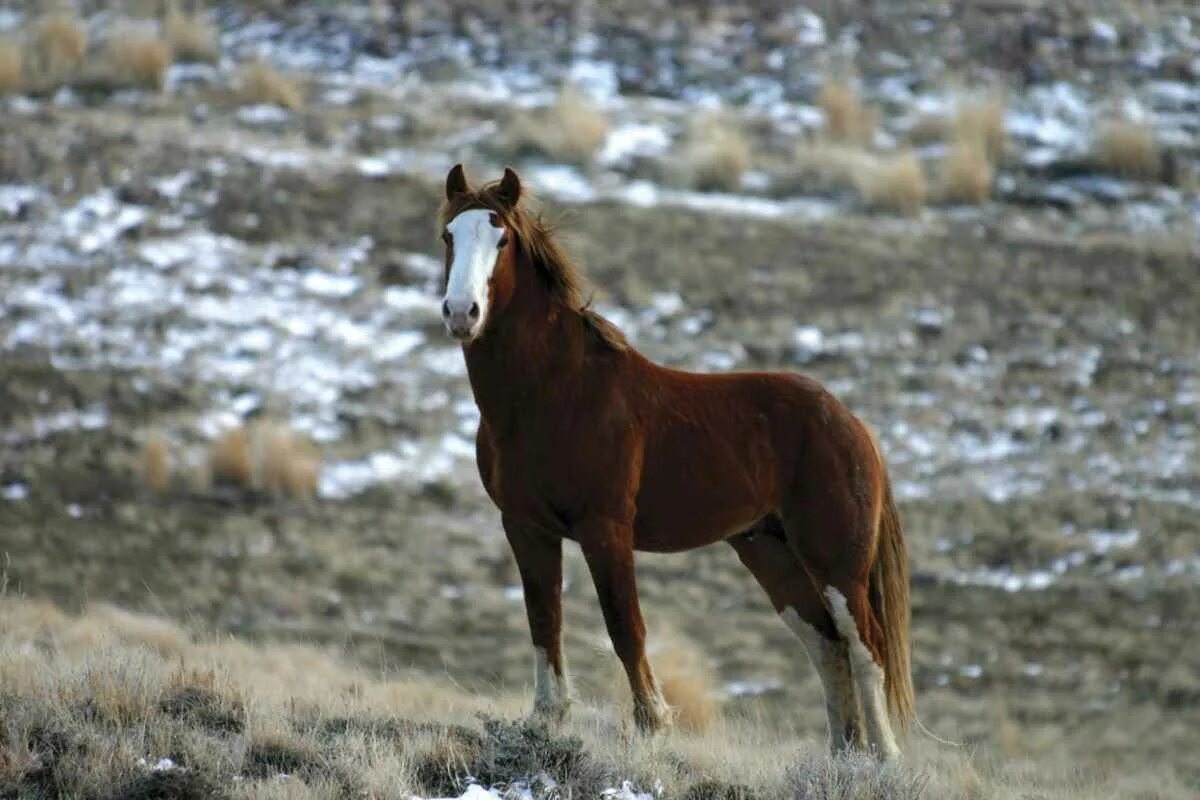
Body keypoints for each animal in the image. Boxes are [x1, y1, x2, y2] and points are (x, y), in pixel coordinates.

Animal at [437, 164, 915, 760]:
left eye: (500, 239)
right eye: (448, 236)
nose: (462, 313)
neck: (553, 392)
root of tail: (853, 425)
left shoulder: (605, 529)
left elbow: (626, 626)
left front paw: (653, 725)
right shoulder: (526, 527)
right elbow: (544, 622)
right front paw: (547, 720)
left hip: (835, 560)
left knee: (864, 646)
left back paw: (882, 761)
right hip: (771, 554)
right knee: (827, 647)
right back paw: (843, 758)